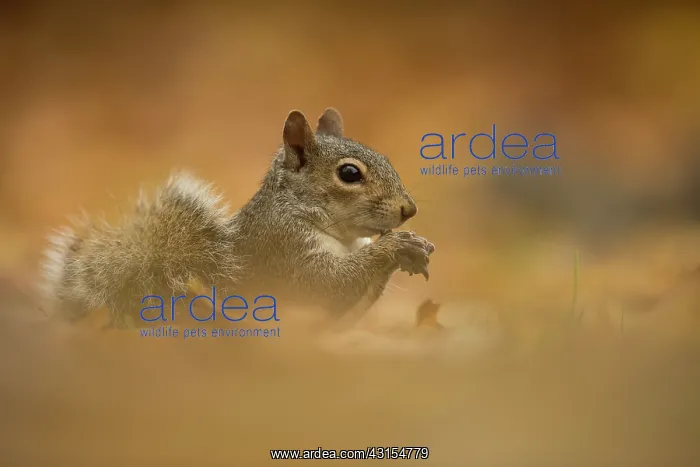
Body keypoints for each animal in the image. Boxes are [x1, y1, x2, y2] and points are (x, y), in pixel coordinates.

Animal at [40, 108, 436, 328]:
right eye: (349, 174)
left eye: (385, 157)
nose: (410, 209)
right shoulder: (284, 251)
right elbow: (328, 282)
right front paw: (394, 246)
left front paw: (411, 247)